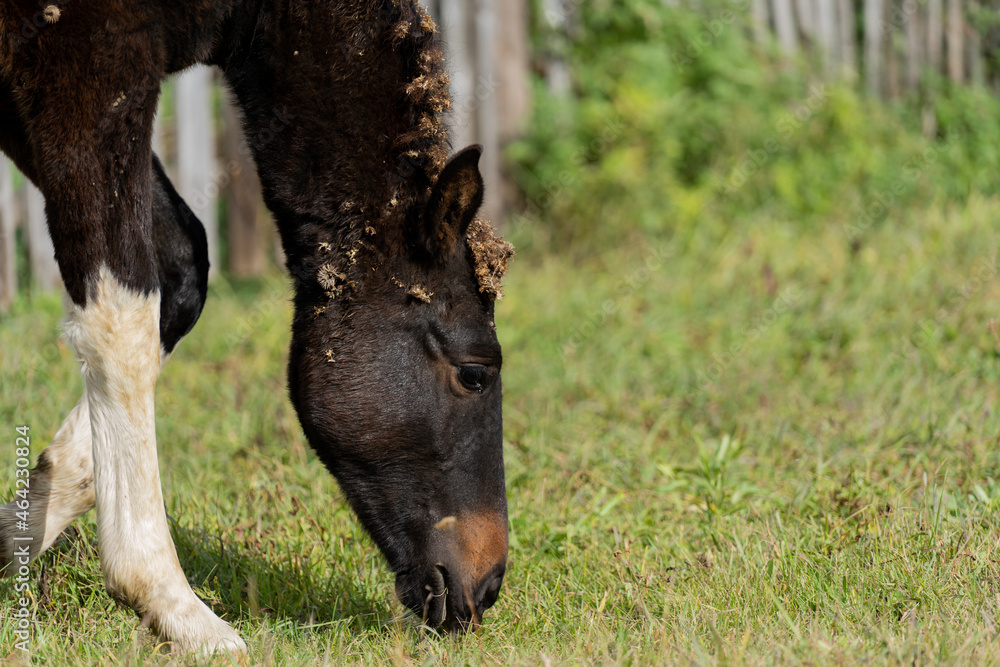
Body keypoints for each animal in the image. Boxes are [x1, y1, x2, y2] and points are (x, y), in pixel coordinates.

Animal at [0, 0, 514, 653]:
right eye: (474, 373)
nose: (488, 585)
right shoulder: (87, 69)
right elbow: (121, 321)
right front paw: (174, 606)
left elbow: (182, 270)